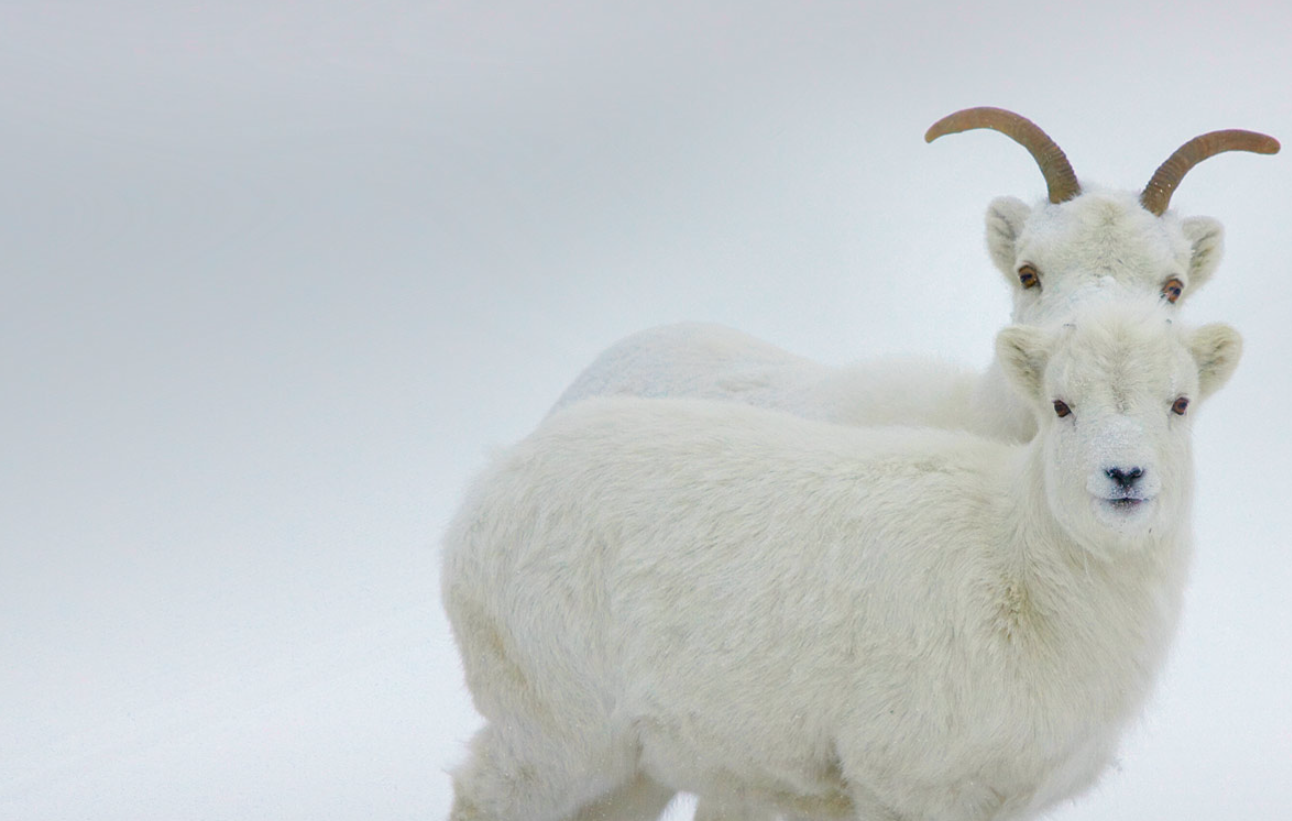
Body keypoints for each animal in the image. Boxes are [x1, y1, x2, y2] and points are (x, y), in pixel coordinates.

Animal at [441, 297, 1240, 821]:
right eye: (1061, 405)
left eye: (1180, 403)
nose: (1125, 475)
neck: (1020, 565)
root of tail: (487, 485)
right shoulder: (905, 779)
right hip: (555, 728)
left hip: (628, 761)